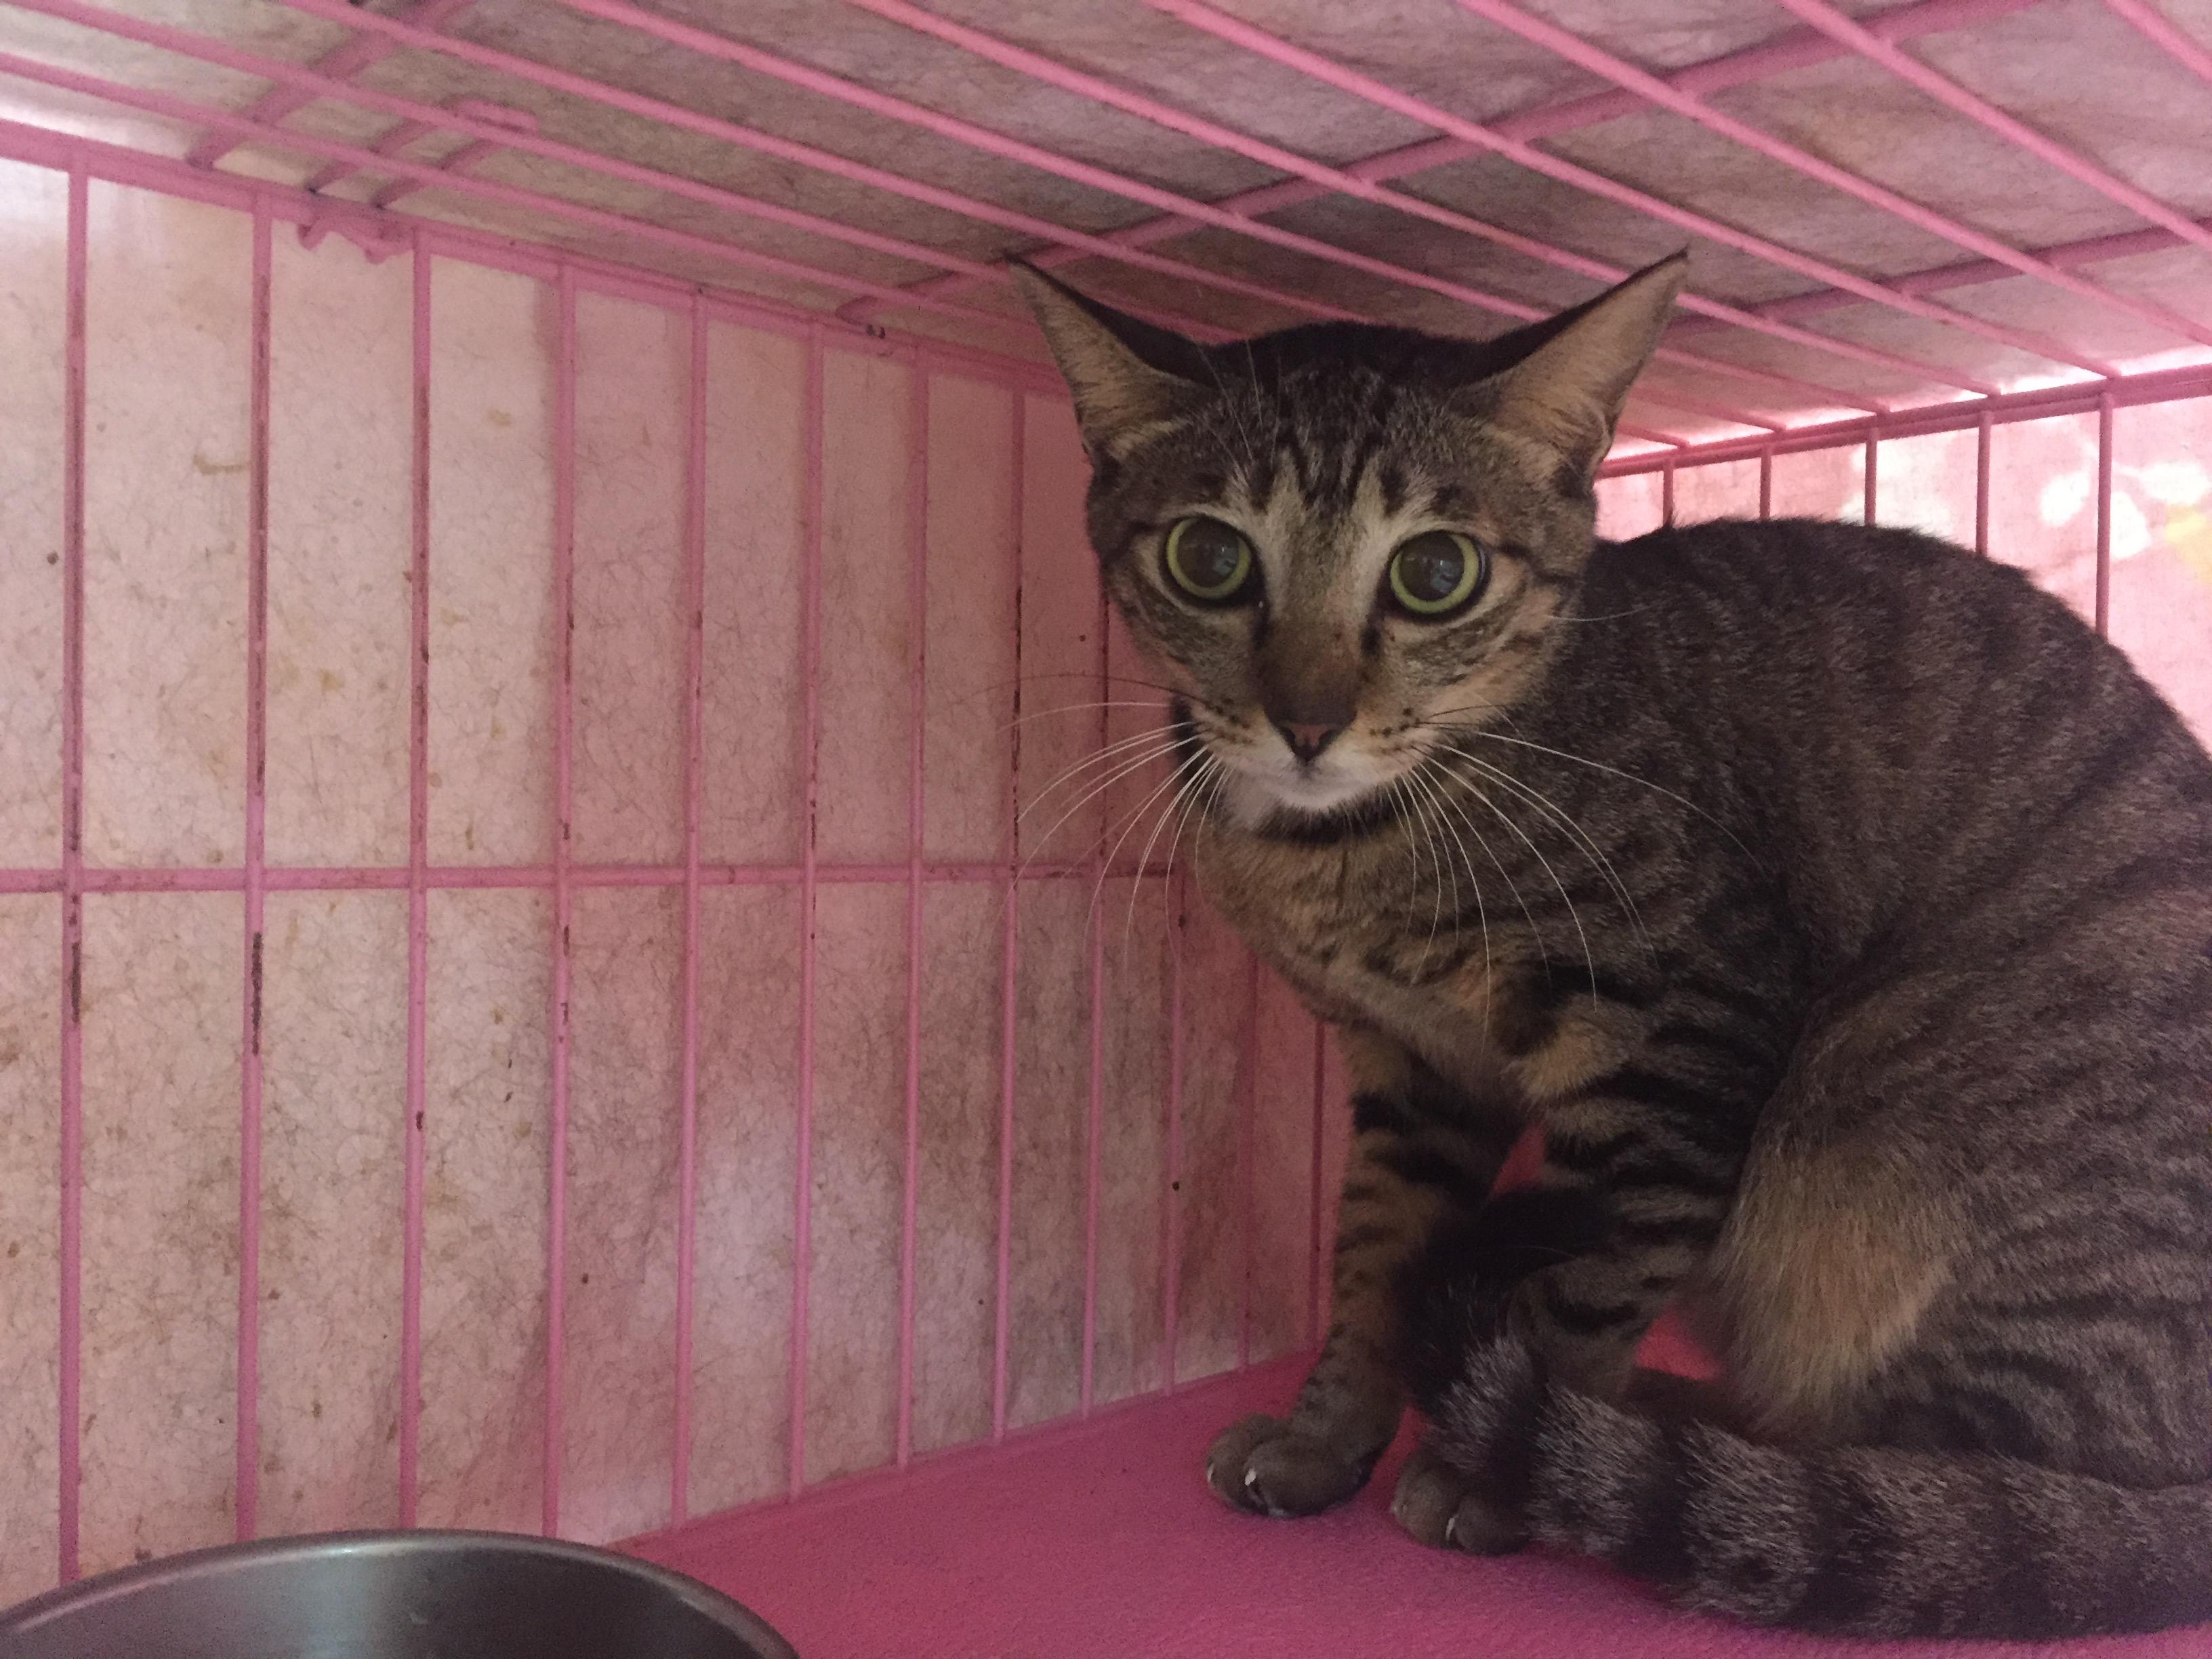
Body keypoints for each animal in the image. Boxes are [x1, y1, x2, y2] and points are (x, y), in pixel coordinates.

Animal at [1013, 252, 2212, 1639]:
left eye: (1434, 573)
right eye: (1208, 556)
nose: (1306, 722)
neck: (1350, 853)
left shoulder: (1683, 1032)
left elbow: (1596, 1268)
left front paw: (1493, 1471)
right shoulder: (1415, 1076)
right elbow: (1372, 1258)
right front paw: (1326, 1435)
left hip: (1893, 1114)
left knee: (1970, 1488)